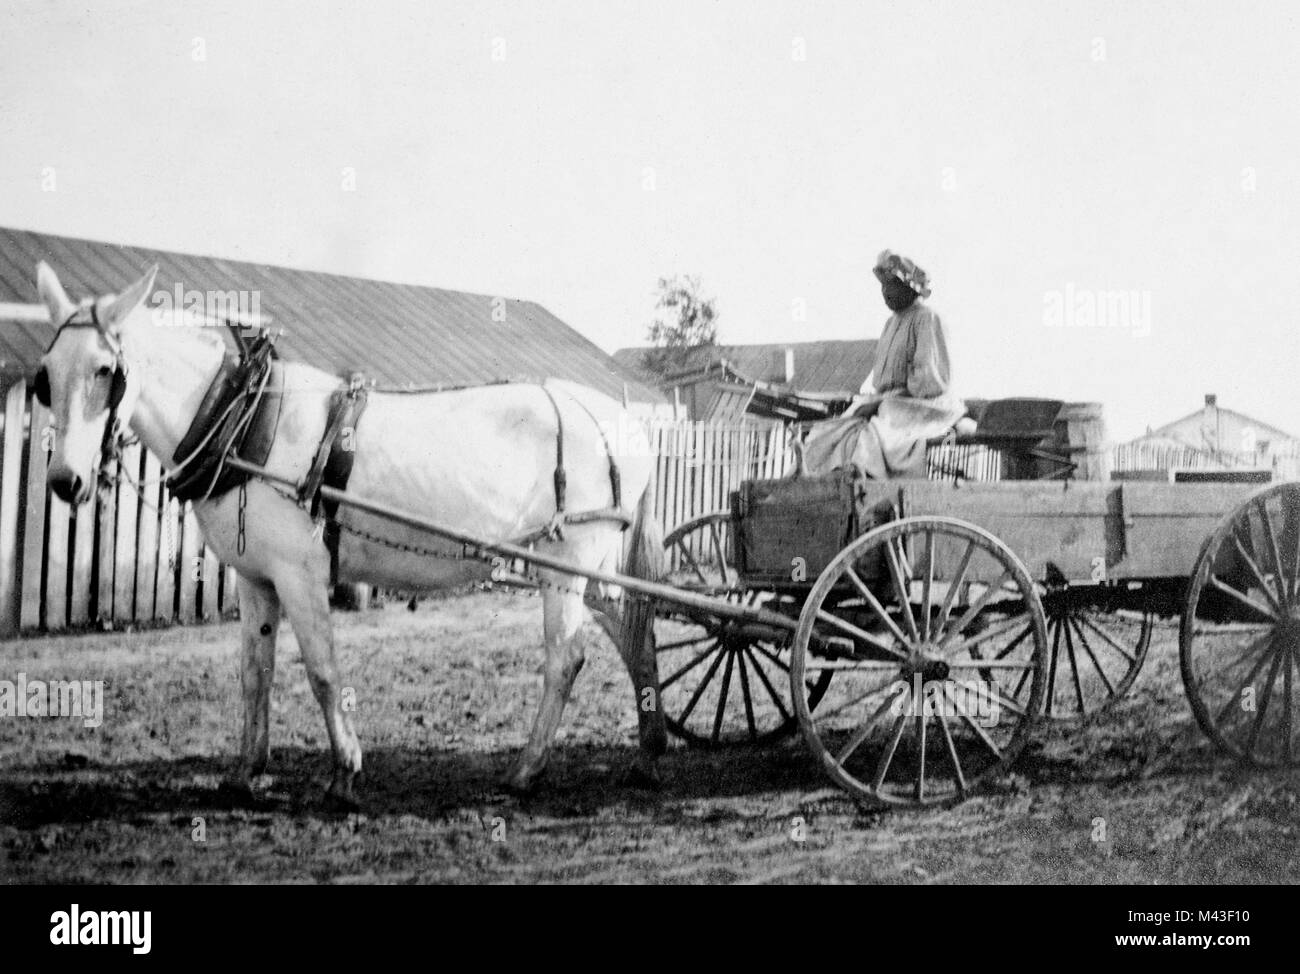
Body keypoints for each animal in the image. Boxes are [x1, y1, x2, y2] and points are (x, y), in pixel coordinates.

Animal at [26, 260, 667, 806]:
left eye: (106, 371)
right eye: (46, 378)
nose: (65, 480)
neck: (241, 420)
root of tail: (621, 422)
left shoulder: (300, 573)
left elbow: (321, 670)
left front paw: (344, 772)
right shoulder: (255, 578)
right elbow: (255, 675)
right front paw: (246, 772)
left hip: (570, 556)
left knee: (567, 657)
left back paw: (527, 769)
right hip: (590, 565)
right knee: (635, 636)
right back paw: (649, 752)